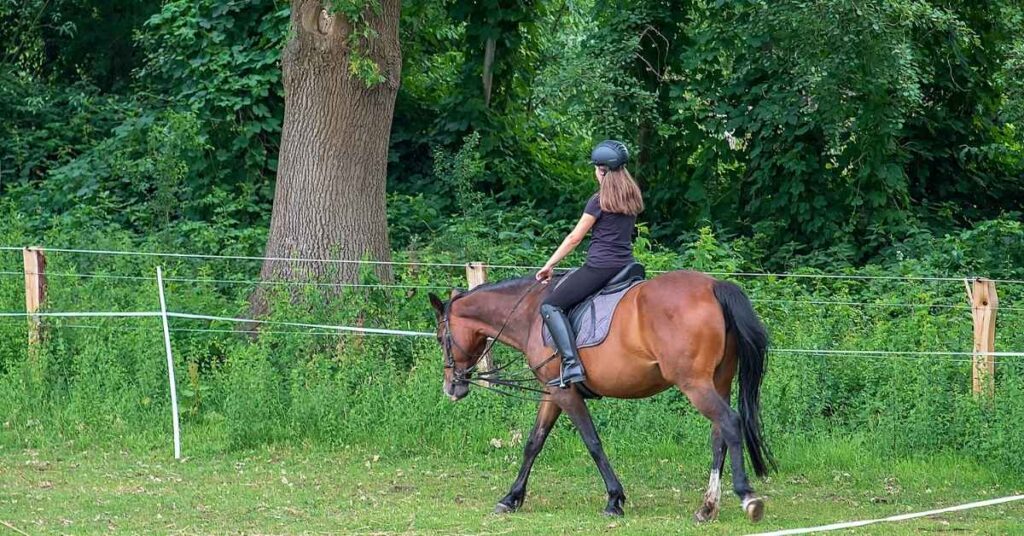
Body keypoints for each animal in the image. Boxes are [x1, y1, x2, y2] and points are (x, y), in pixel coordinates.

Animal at [428, 270, 770, 522]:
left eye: (441, 337)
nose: (451, 388)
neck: (530, 314)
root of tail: (713, 286)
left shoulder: (565, 394)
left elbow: (592, 442)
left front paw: (614, 499)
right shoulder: (553, 392)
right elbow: (533, 442)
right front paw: (511, 498)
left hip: (694, 384)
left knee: (730, 422)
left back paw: (746, 496)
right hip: (718, 381)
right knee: (719, 436)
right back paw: (707, 507)